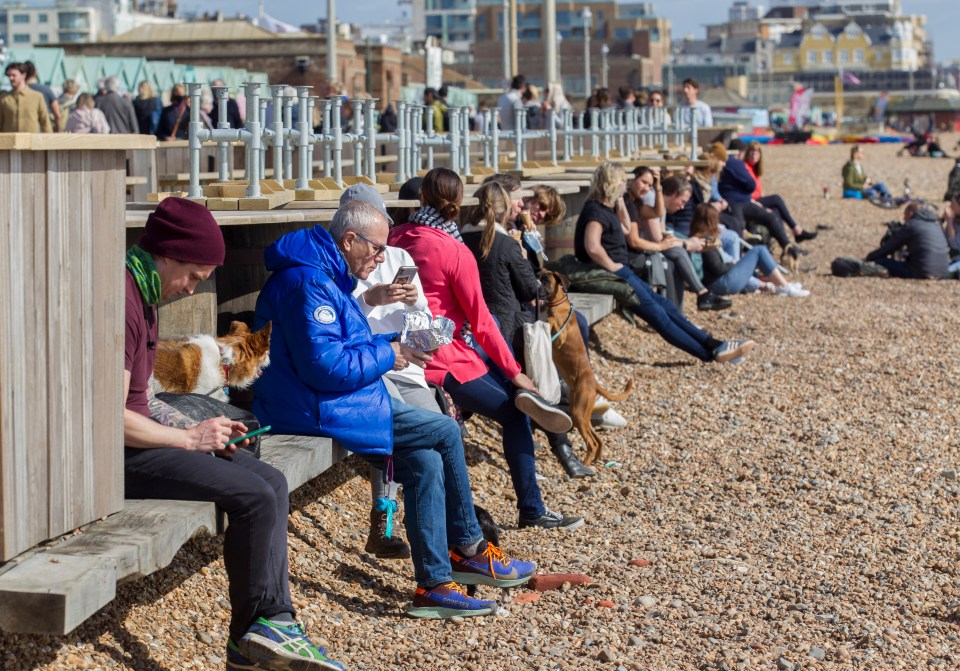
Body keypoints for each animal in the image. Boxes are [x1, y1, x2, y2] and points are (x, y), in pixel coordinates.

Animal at [540, 272, 632, 468]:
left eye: (546, 280)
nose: (536, 280)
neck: (558, 303)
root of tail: (594, 383)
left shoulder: (559, 336)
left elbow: (551, 321)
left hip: (578, 413)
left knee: (591, 442)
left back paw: (586, 464)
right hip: (581, 412)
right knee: (597, 439)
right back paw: (596, 459)